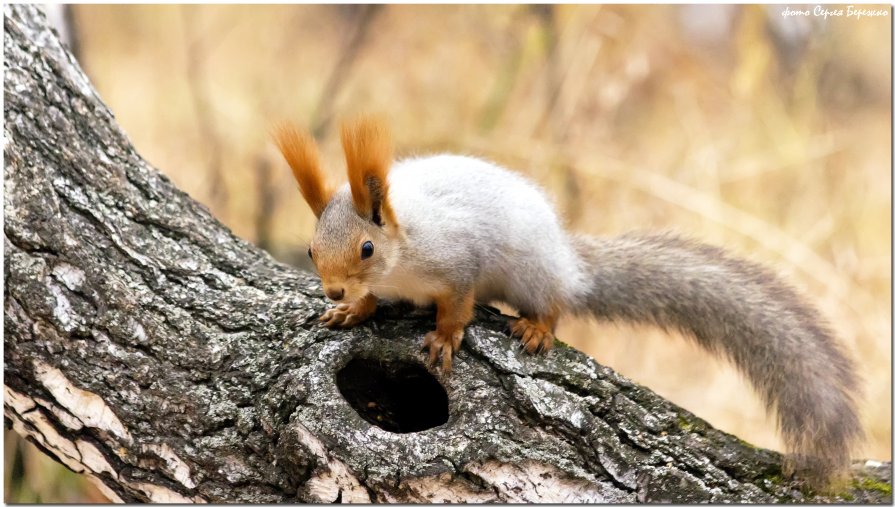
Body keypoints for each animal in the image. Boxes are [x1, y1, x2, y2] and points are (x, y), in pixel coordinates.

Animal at [272, 116, 860, 488]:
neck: (403, 254)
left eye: (366, 248)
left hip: (532, 273)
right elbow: (373, 302)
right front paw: (352, 310)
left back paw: (537, 326)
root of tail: (568, 262)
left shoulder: (458, 262)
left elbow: (458, 305)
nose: (333, 288)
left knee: (554, 303)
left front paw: (442, 337)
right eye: (311, 249)